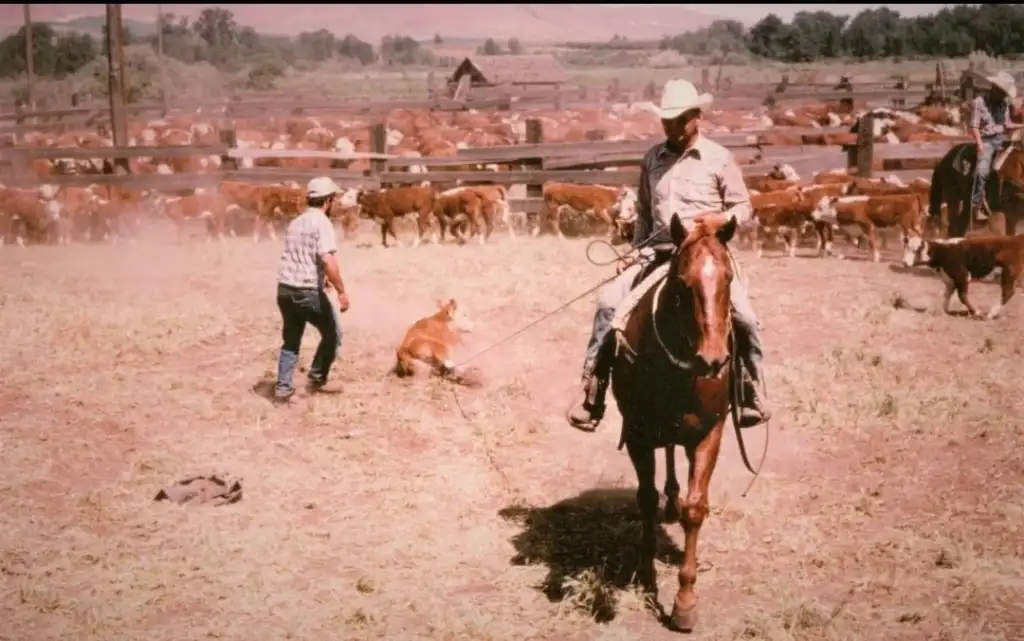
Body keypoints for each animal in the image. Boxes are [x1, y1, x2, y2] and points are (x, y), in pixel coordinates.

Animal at [606, 212, 745, 630]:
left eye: (728, 278)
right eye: (683, 282)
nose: (713, 359)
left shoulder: (709, 434)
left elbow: (695, 510)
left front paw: (685, 601)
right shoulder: (638, 433)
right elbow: (646, 498)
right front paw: (646, 571)